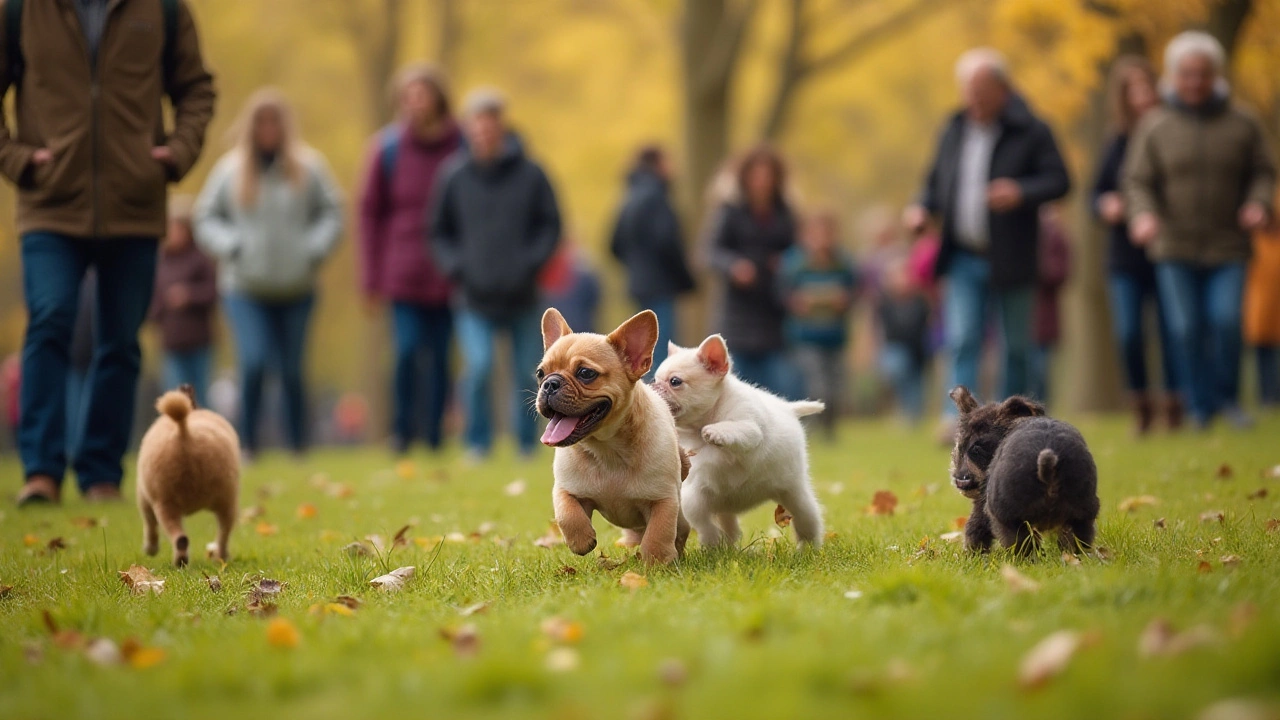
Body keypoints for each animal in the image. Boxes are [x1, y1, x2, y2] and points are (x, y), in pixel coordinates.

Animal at [535, 304, 691, 563]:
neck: (606, 448)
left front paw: (656, 561)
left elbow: (659, 531)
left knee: (678, 530)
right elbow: (567, 513)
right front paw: (581, 540)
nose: (549, 384)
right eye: (540, 373)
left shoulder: (663, 499)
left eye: (586, 373)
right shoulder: (566, 489)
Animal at [655, 333, 824, 545]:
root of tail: (788, 408)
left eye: (675, 381)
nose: (652, 386)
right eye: (655, 379)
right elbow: (702, 521)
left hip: (795, 495)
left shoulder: (750, 428)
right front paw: (711, 541)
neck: (706, 417)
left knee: (808, 521)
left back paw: (809, 547)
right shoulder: (695, 493)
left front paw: (714, 432)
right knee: (729, 526)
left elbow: (733, 429)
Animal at [952, 384, 1100, 550]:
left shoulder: (984, 504)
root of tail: (1048, 470)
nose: (959, 478)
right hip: (1083, 513)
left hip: (1008, 517)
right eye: (959, 447)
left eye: (976, 449)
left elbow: (974, 527)